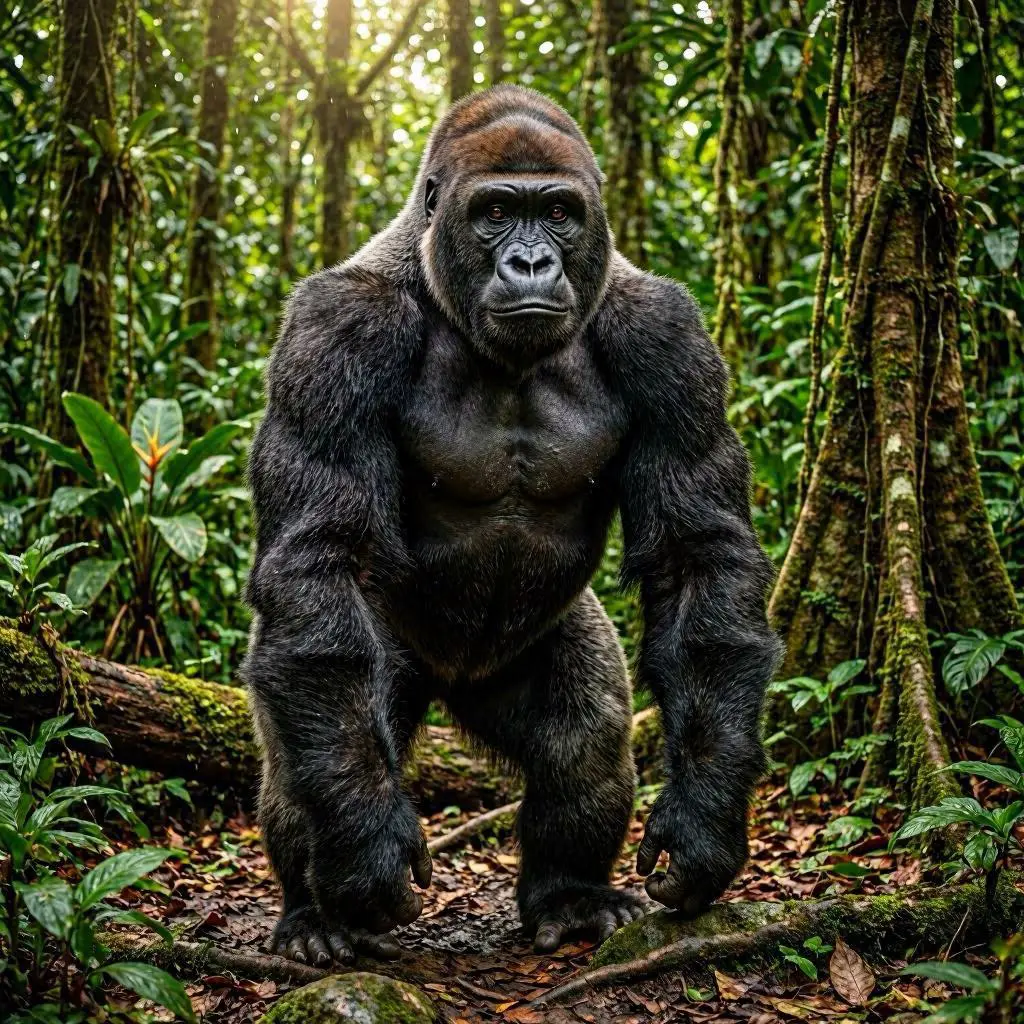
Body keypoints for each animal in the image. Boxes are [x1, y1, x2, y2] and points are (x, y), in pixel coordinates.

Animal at [243, 85, 782, 966]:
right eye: (495, 212)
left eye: (559, 213)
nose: (531, 263)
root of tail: (455, 681)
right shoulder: (336, 330)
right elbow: (323, 560)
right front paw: (365, 850)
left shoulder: (667, 336)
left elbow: (696, 558)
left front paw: (703, 822)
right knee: (308, 729)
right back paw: (315, 912)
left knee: (587, 737)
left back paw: (569, 895)